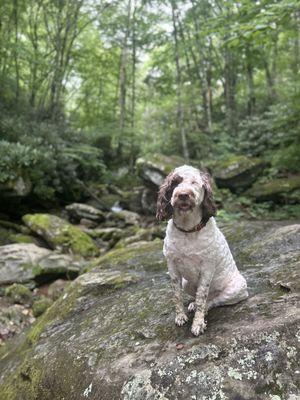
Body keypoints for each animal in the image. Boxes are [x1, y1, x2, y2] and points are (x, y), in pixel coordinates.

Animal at [157, 164, 248, 336]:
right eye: (175, 182)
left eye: (194, 182)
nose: (183, 195)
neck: (188, 230)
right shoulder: (172, 266)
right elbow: (176, 295)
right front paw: (180, 317)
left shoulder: (207, 268)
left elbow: (201, 297)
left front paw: (198, 324)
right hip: (187, 283)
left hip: (237, 289)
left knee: (212, 301)